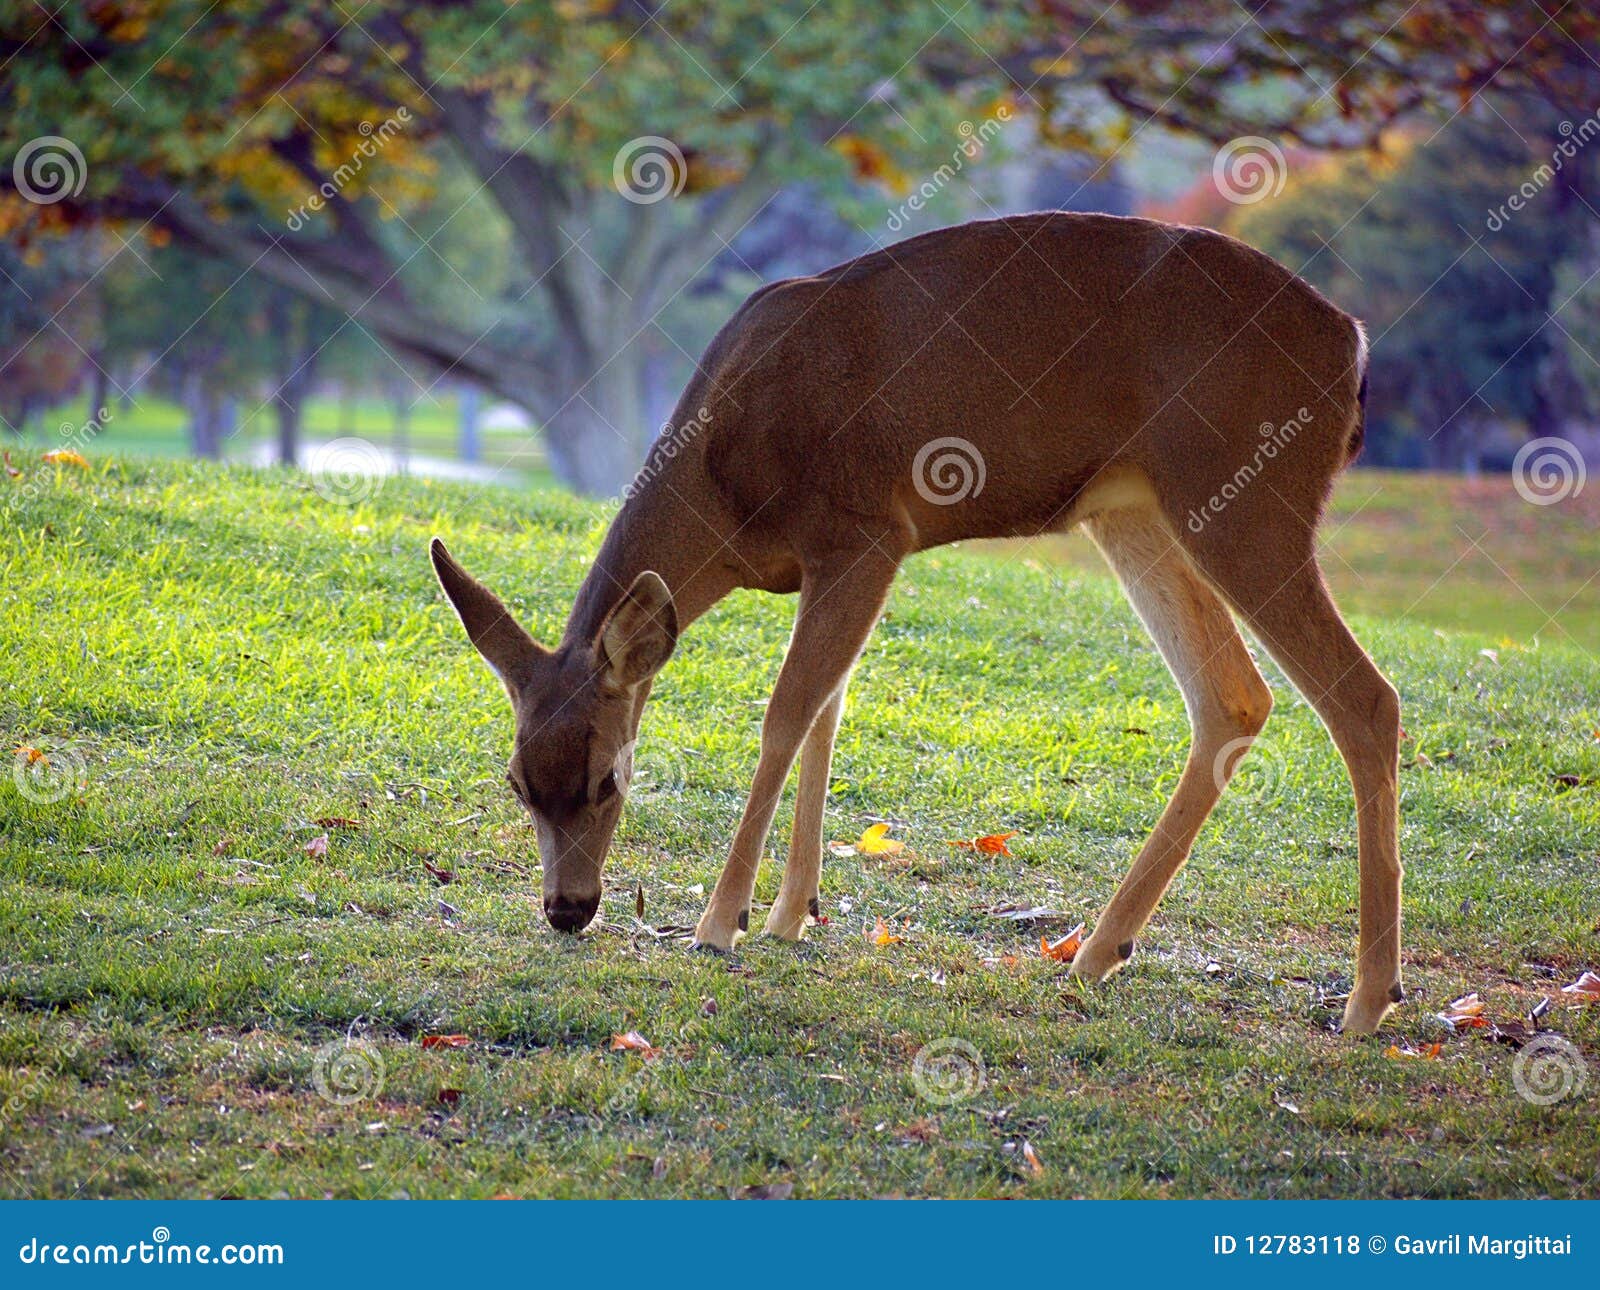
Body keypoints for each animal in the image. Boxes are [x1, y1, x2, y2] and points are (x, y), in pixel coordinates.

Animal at [432, 212, 1408, 1043]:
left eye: (606, 781)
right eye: (517, 784)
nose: (567, 909)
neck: (724, 485)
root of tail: (1352, 344)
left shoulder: (865, 530)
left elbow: (787, 714)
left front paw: (721, 920)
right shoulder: (842, 561)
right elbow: (828, 710)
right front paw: (790, 914)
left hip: (1250, 497)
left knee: (1365, 697)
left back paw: (1367, 1002)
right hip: (1136, 508)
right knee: (1234, 698)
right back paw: (1097, 953)